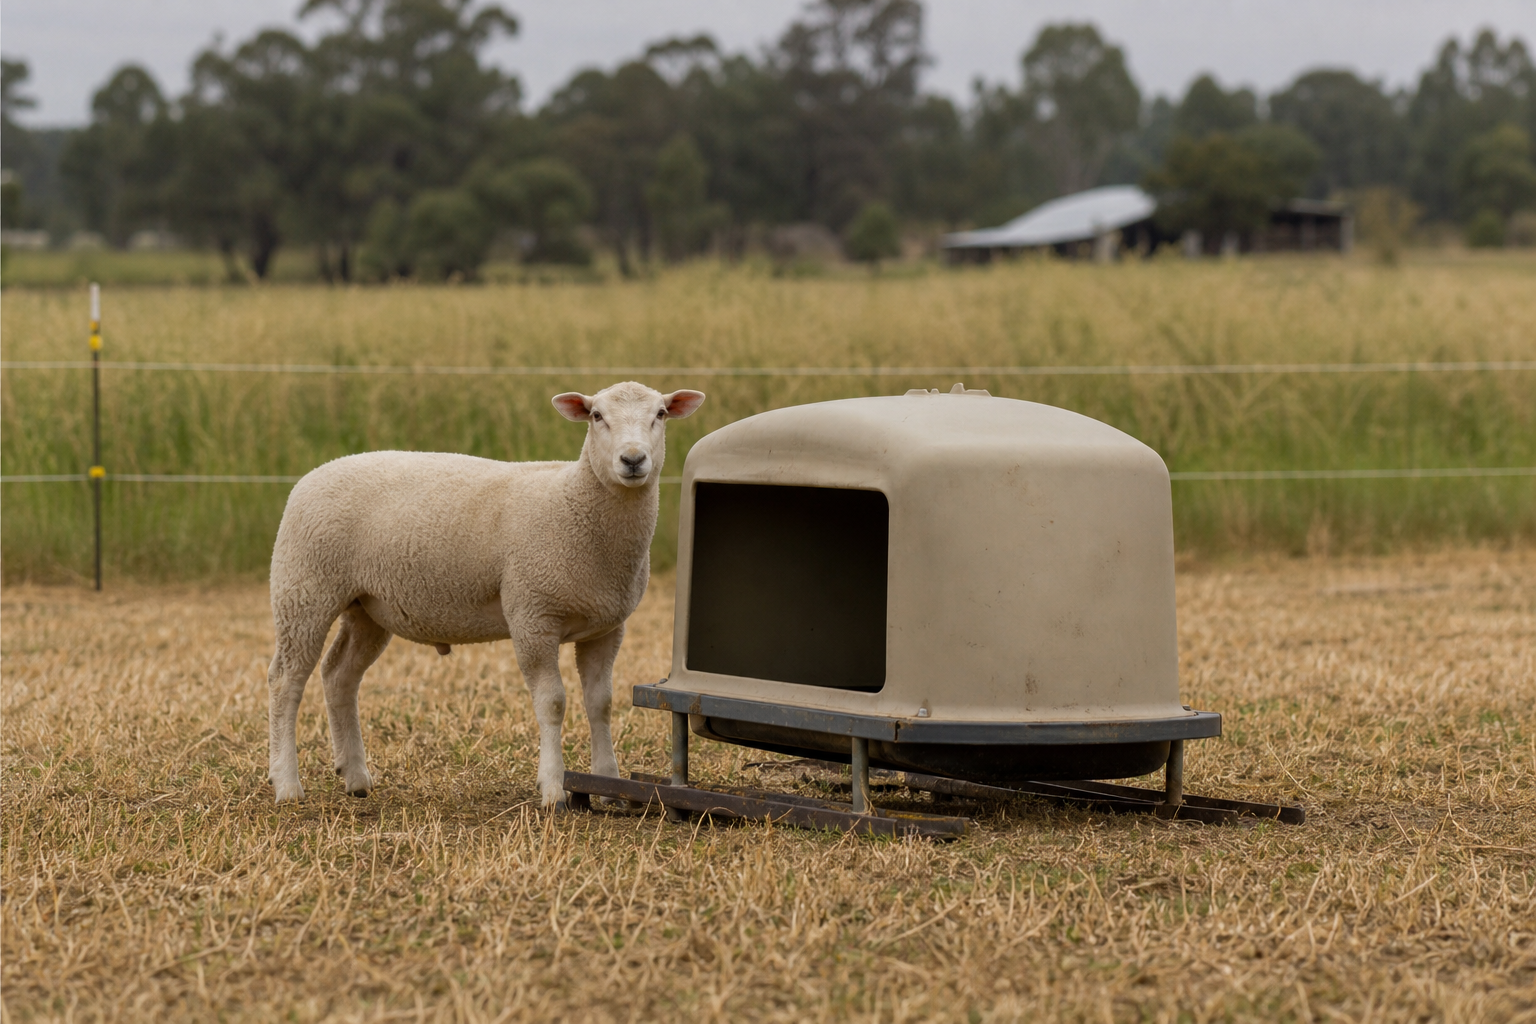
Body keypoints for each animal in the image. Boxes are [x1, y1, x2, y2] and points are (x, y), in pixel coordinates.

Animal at [265, 381, 706, 809]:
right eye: (597, 416)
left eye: (660, 414)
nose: (632, 460)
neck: (573, 501)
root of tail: (313, 475)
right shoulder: (532, 614)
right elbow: (553, 703)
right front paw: (553, 790)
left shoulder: (606, 628)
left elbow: (601, 703)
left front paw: (608, 784)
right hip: (304, 589)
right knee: (286, 681)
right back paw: (286, 784)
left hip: (367, 608)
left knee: (339, 675)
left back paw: (355, 777)